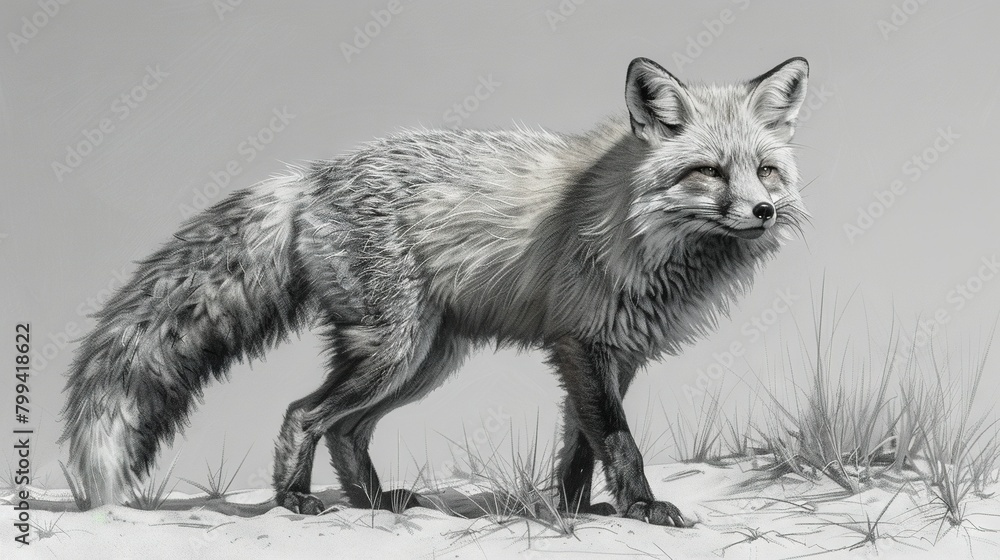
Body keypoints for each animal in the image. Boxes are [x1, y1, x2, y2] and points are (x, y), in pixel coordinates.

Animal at [60, 56, 809, 527]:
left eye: (766, 171)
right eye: (709, 172)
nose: (763, 212)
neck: (638, 227)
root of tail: (308, 174)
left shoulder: (608, 354)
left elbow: (581, 448)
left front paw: (575, 514)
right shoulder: (581, 344)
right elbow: (618, 441)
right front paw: (643, 509)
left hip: (424, 360)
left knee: (346, 428)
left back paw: (369, 503)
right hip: (396, 350)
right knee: (304, 414)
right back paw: (294, 503)